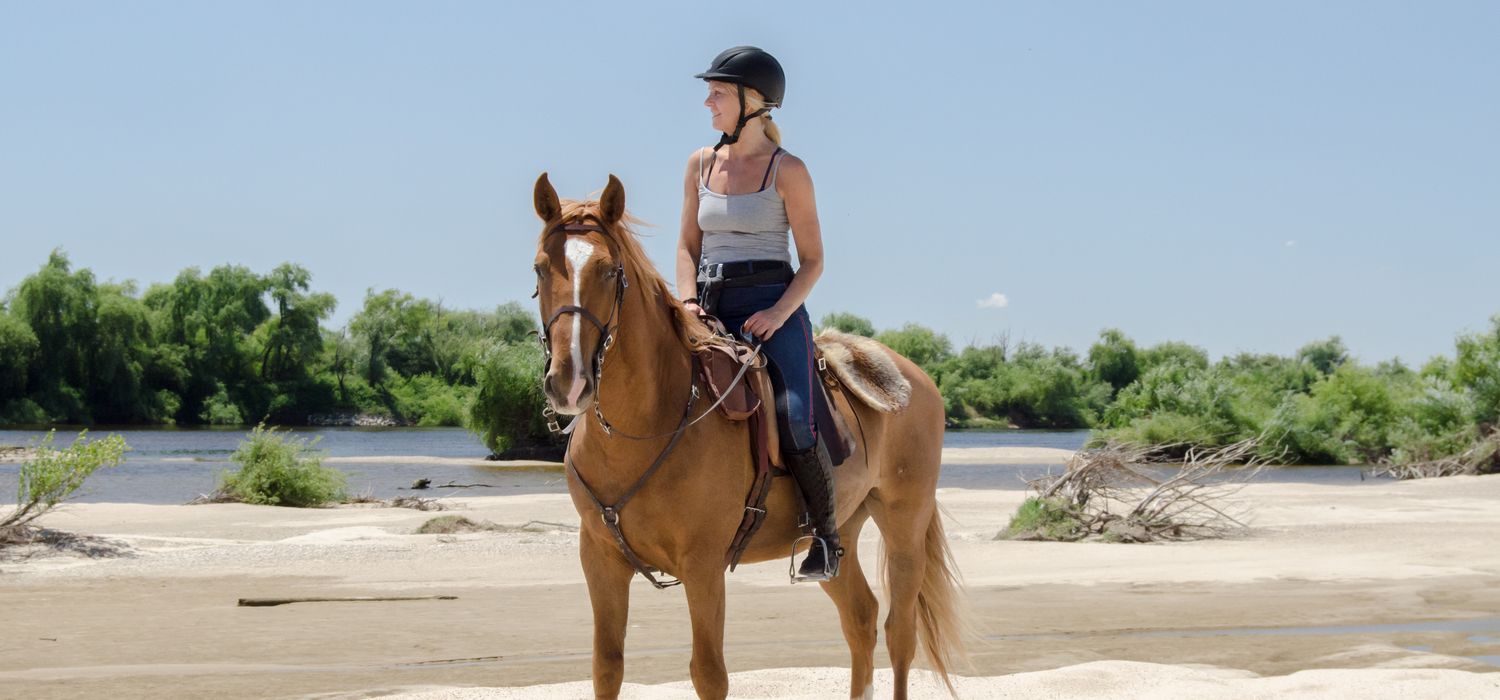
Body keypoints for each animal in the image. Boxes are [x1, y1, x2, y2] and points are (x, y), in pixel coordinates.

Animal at [534, 171, 966, 700]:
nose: (569, 381)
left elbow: (709, 673)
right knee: (860, 619)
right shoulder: (599, 559)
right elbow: (607, 667)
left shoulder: (703, 566)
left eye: (610, 271)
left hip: (904, 522)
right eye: (539, 269)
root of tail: (916, 378)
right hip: (839, 531)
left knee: (899, 631)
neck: (647, 426)